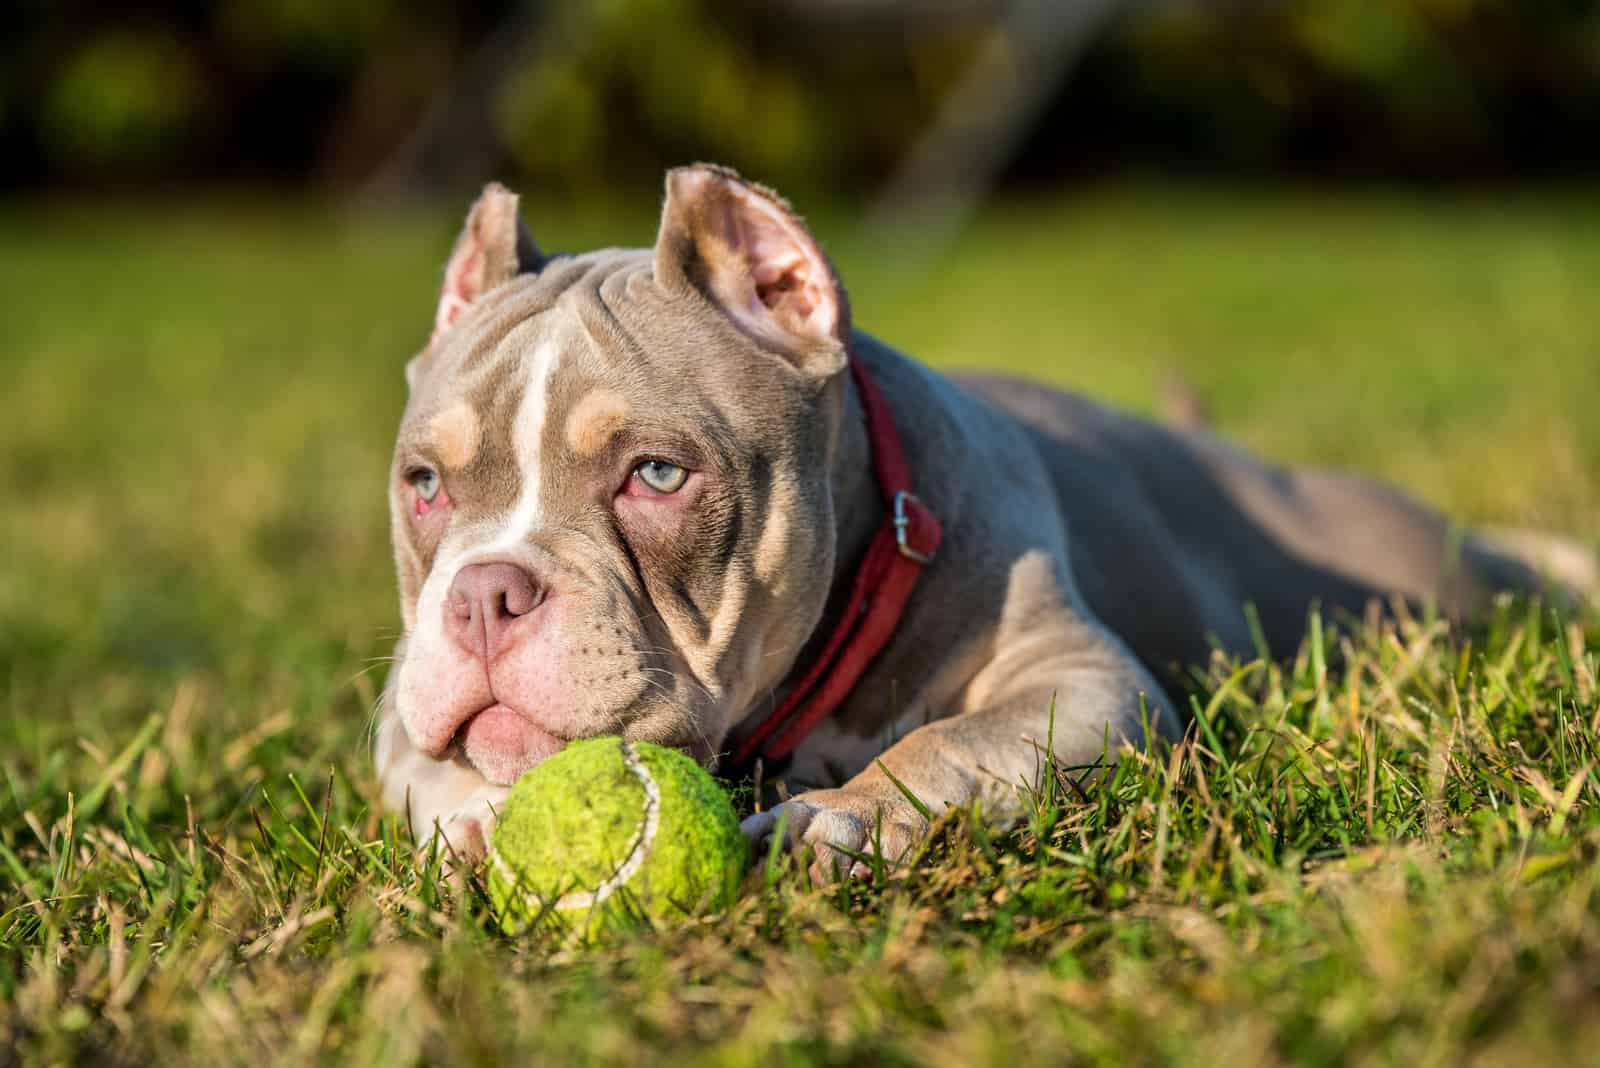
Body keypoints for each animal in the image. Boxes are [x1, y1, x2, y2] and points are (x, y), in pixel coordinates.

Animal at [371, 164, 1587, 876]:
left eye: (657, 476)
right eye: (424, 485)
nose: (485, 596)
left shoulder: (1078, 684)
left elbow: (948, 742)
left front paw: (841, 816)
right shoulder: (396, 717)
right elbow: (431, 770)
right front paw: (477, 813)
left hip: (1414, 573)